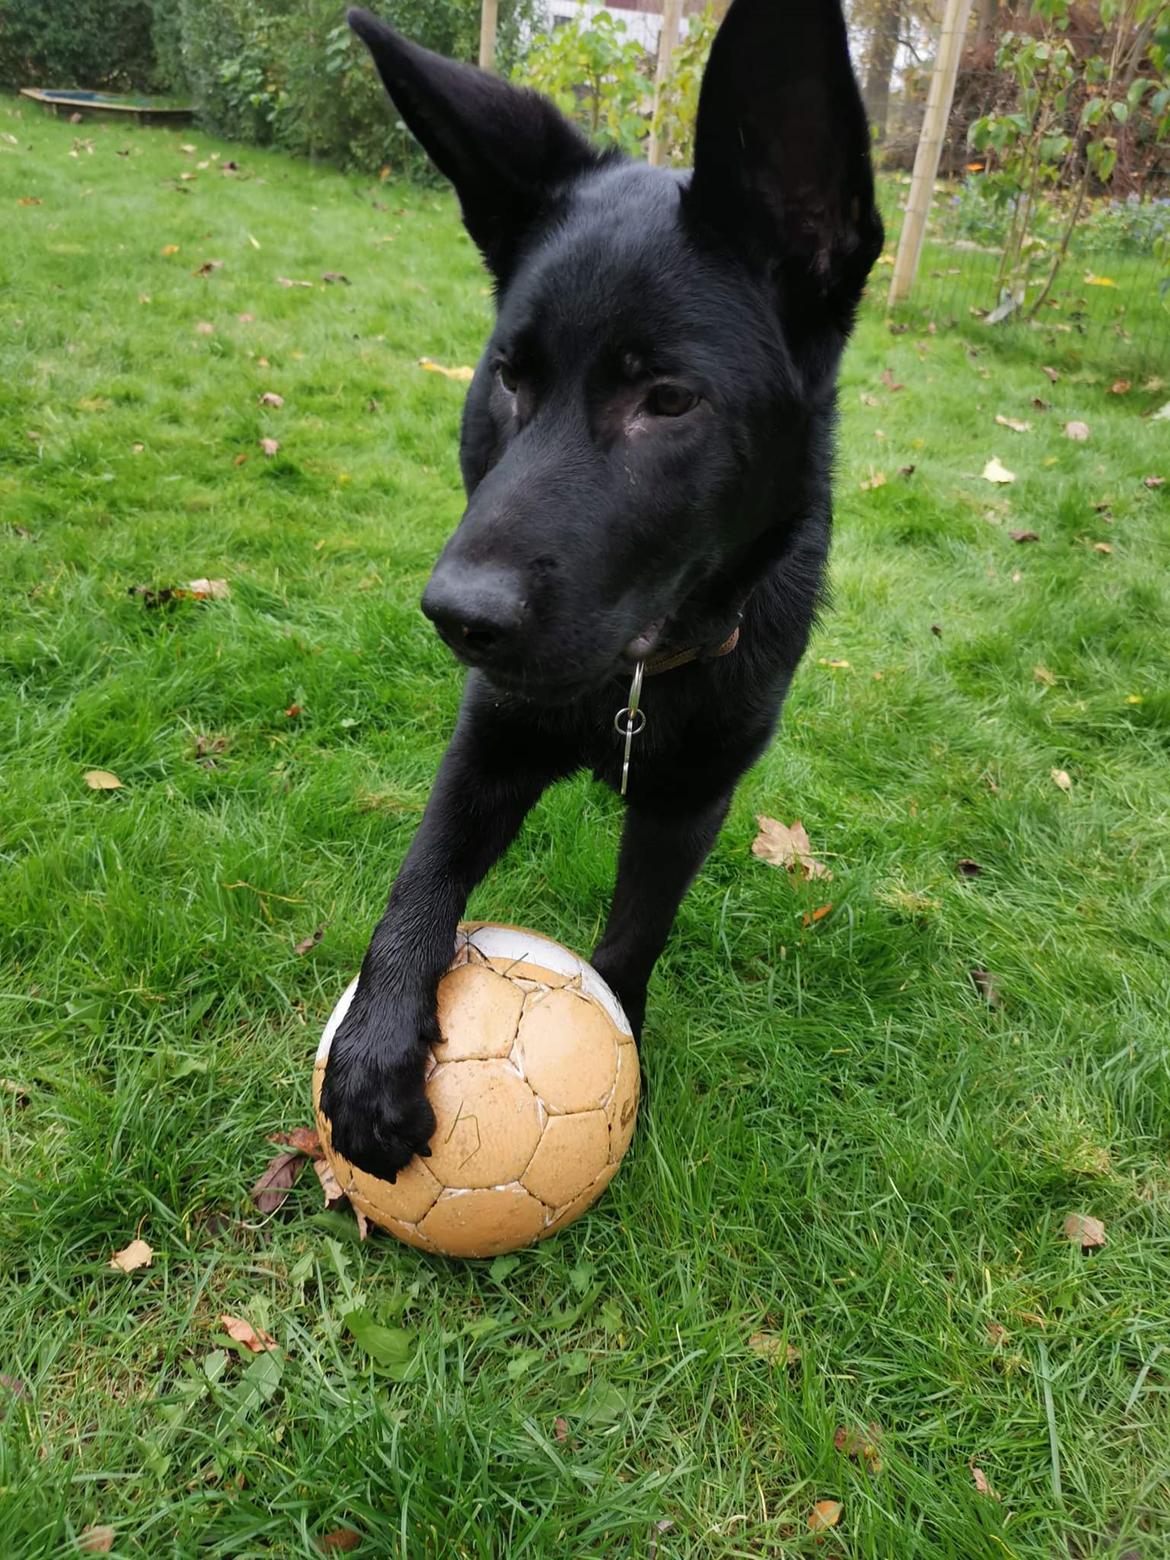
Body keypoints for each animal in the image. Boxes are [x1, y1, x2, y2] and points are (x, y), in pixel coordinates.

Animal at [326, 0, 886, 1173]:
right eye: (508, 377)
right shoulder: (490, 736)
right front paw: (376, 1042)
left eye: (667, 401)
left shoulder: (691, 801)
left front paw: (618, 1046)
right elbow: (422, 869)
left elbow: (635, 932)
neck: (632, 677)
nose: (455, 617)